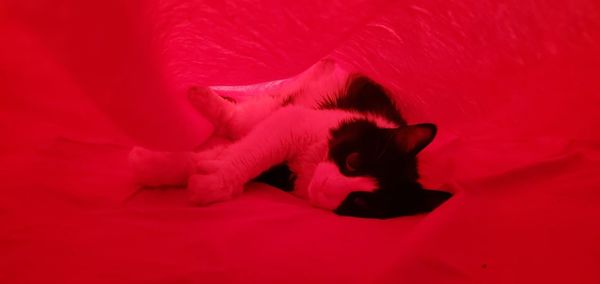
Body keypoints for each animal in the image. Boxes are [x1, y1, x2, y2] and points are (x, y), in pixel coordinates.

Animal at [130, 60, 450, 219]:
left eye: (361, 202)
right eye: (353, 161)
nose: (324, 186)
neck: (309, 166)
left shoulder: (280, 170)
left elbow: (214, 157)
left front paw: (152, 168)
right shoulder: (293, 124)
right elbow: (249, 153)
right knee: (243, 118)